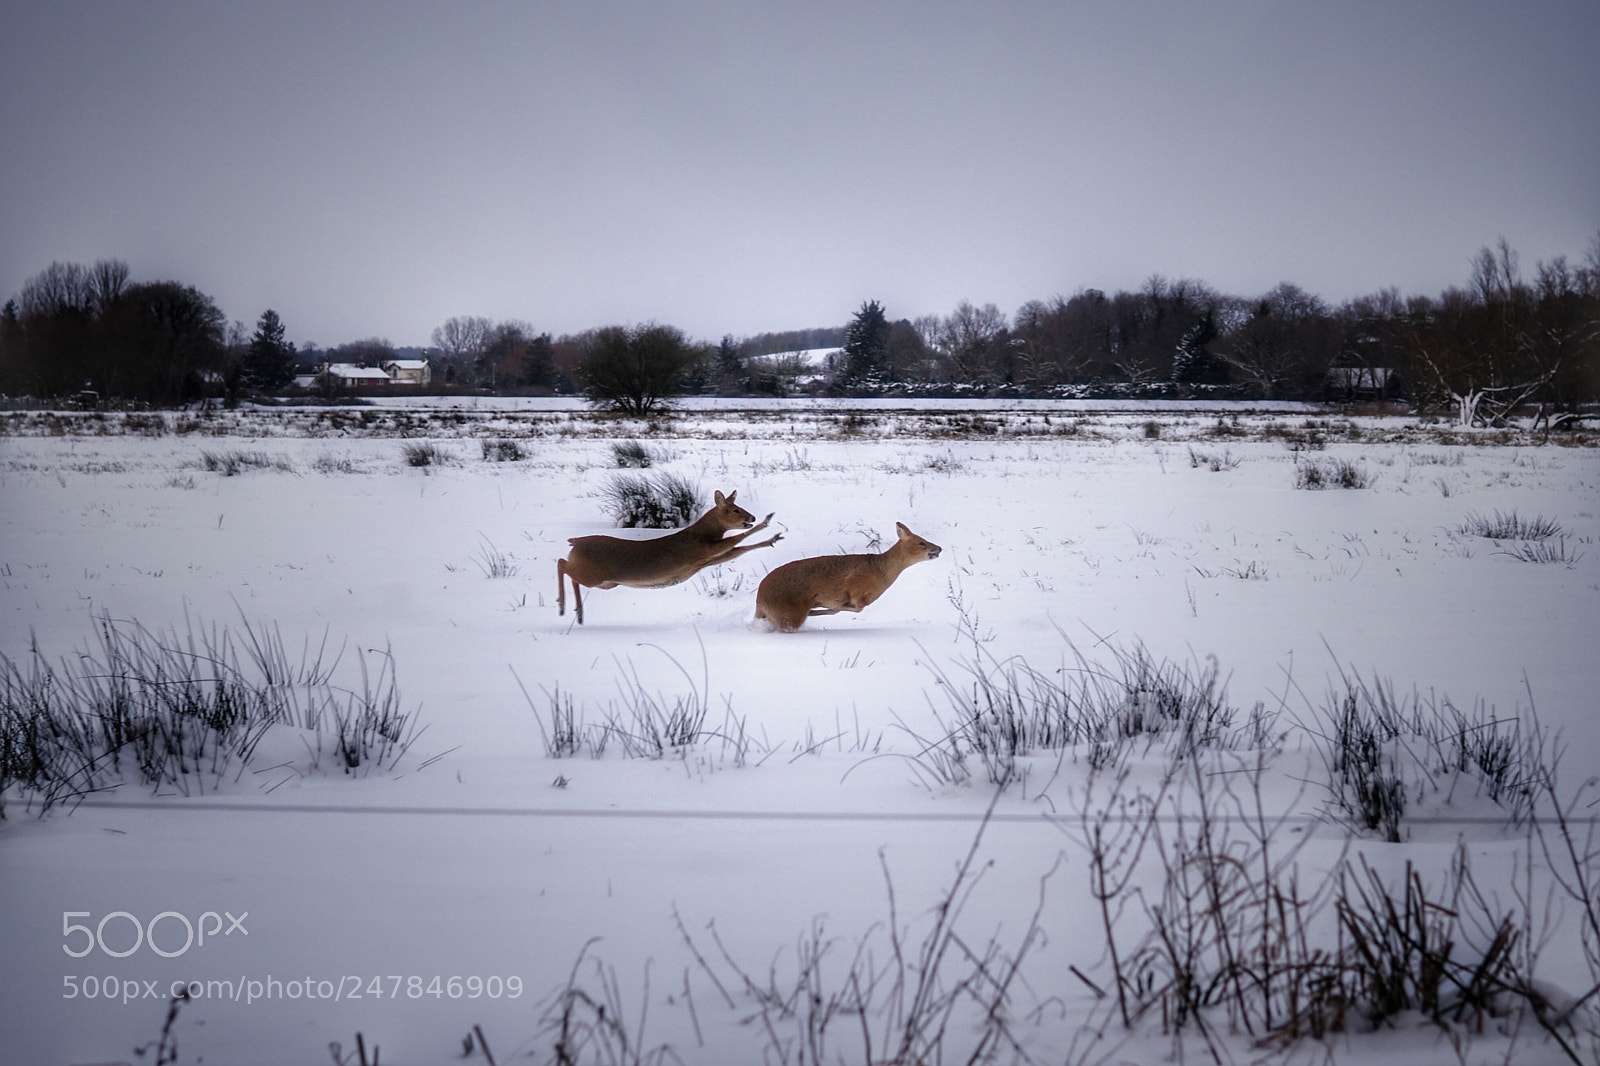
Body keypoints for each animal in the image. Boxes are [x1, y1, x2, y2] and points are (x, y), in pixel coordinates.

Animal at [557, 490, 781, 624]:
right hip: (593, 574)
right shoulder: (701, 550)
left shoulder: (705, 560)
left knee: (570, 572)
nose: (752, 517)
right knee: (562, 564)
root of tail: (575, 542)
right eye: (736, 509)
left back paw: (578, 612)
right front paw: (766, 523)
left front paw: (773, 538)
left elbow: (739, 549)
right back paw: (562, 605)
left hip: (605, 582)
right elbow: (737, 539)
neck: (702, 533)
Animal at [754, 522, 942, 632]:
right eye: (921, 542)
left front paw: (818, 609)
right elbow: (854, 608)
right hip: (788, 614)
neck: (882, 573)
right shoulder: (857, 588)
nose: (939, 548)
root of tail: (759, 597)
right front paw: (817, 609)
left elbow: (838, 610)